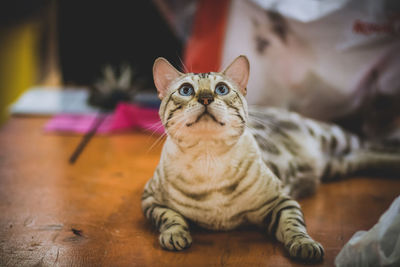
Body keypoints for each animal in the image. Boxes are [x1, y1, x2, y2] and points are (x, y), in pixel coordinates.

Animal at [141, 55, 400, 262]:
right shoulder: (150, 200)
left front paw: (305, 246)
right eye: (186, 90)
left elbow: (295, 227)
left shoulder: (280, 201)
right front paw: (175, 236)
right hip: (338, 165)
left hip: (336, 139)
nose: (206, 98)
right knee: (368, 155)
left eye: (222, 89)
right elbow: (170, 218)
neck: (209, 159)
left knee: (372, 143)